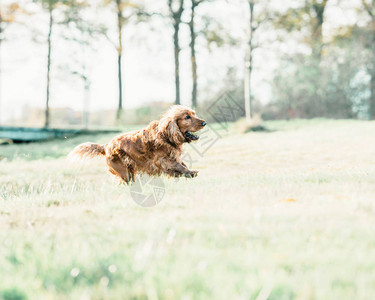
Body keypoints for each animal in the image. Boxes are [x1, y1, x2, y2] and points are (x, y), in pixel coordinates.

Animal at [69, 105, 207, 185]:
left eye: (194, 114)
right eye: (187, 117)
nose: (204, 123)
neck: (165, 136)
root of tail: (106, 145)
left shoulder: (171, 159)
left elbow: (181, 165)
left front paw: (187, 174)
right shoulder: (161, 160)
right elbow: (179, 166)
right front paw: (191, 173)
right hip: (125, 172)